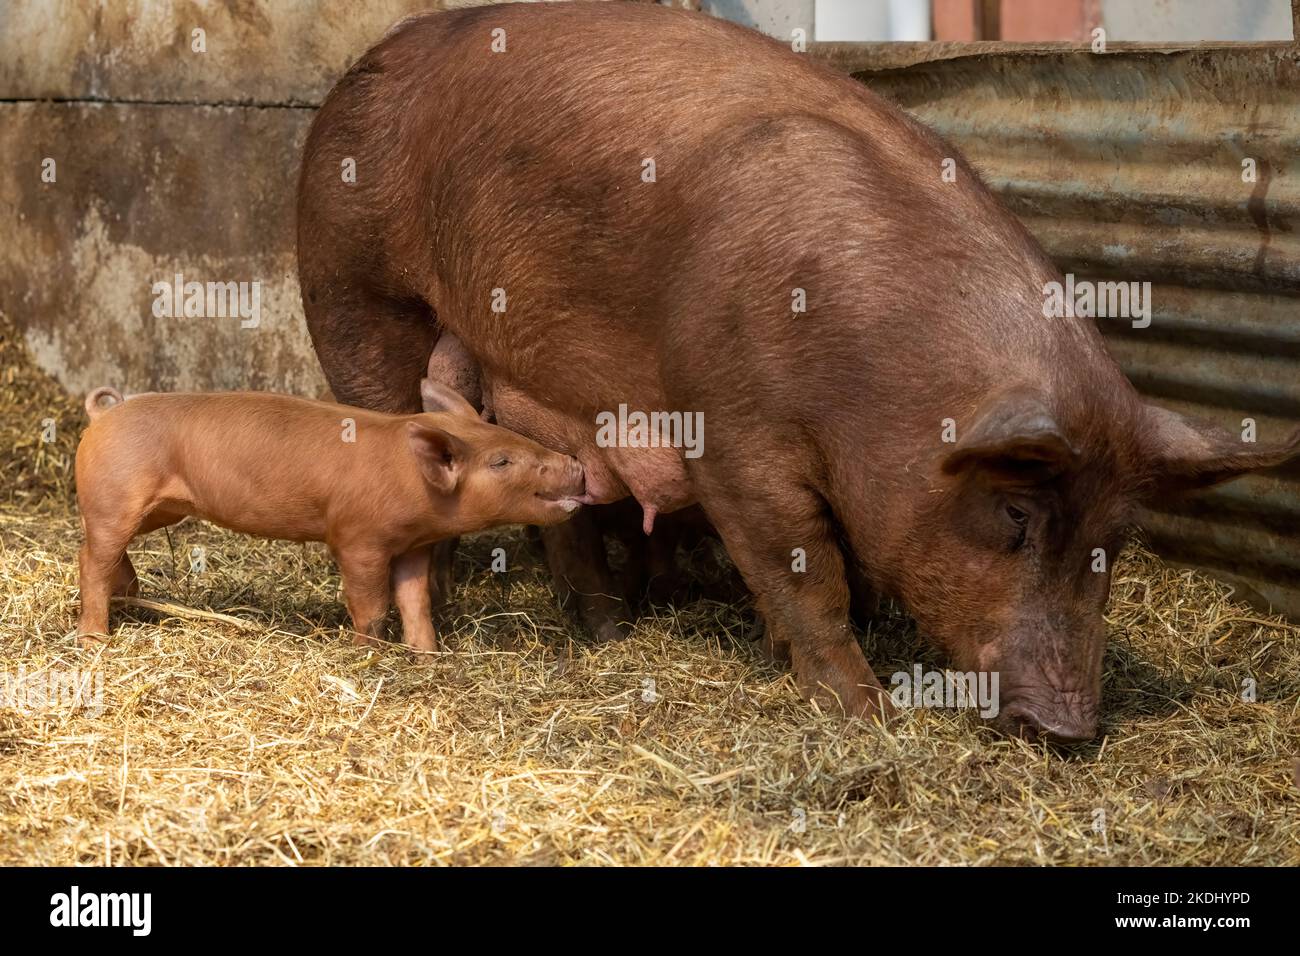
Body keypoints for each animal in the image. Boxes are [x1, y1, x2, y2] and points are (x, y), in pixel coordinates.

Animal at [299, 1, 1300, 738]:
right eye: (1016, 514)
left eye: (1116, 538)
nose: (1068, 730)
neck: (880, 381)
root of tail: (357, 69)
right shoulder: (734, 428)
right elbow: (807, 567)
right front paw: (867, 714)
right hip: (352, 289)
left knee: (567, 512)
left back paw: (611, 629)